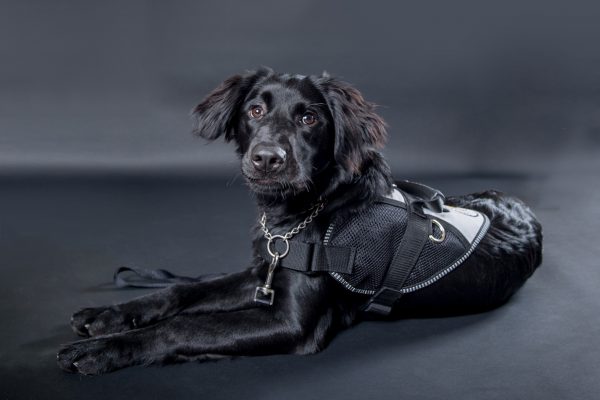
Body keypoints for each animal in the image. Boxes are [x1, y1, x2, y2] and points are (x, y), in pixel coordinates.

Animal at [57, 69, 544, 376]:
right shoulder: (264, 272)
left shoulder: (292, 322)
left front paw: (104, 350)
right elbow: (184, 291)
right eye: (254, 111)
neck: (304, 213)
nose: (267, 159)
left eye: (309, 118)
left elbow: (189, 325)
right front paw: (109, 316)